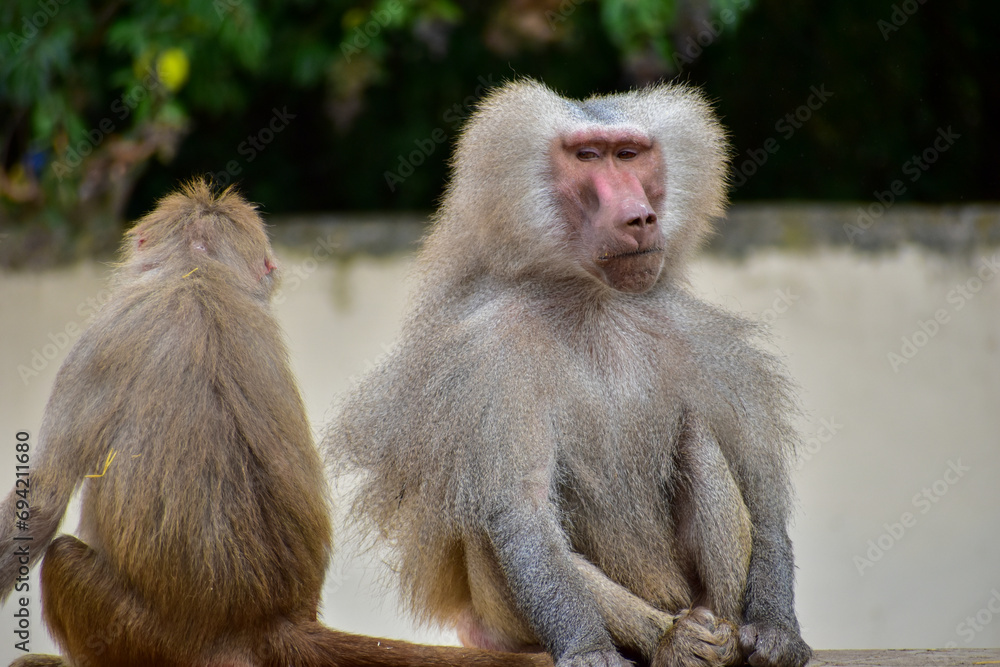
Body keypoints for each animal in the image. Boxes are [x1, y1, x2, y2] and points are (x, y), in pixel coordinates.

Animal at [0, 180, 552, 667]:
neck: (197, 273)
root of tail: (266, 622)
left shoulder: (96, 341)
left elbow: (42, 499)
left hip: (140, 634)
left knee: (62, 557)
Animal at [328, 80, 812, 667]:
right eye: (587, 157)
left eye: (628, 154)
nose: (640, 218)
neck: (591, 302)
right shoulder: (491, 352)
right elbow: (526, 514)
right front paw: (590, 649)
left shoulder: (698, 338)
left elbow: (760, 492)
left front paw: (775, 630)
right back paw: (673, 642)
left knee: (698, 436)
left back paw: (718, 635)